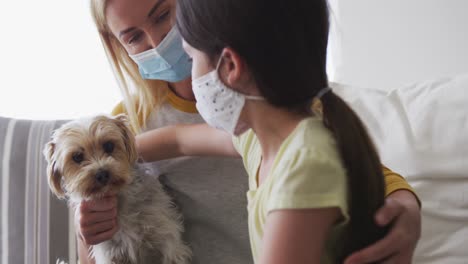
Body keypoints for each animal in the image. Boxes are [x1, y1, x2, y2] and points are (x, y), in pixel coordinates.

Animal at [43, 115, 190, 264]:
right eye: (77, 157)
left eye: (109, 145)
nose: (102, 174)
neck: (120, 198)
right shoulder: (109, 252)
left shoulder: (167, 238)